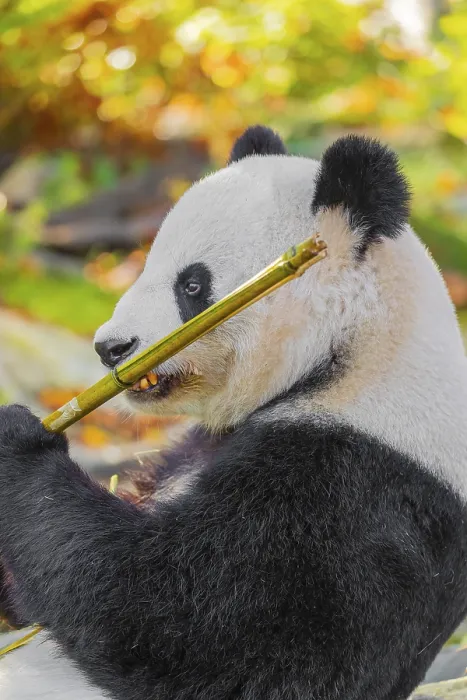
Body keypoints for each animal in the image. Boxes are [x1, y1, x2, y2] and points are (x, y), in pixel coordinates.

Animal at [0, 126, 467, 700]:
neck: (354, 349)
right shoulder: (197, 445)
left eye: (192, 285)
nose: (110, 348)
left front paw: (18, 440)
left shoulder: (359, 488)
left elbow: (183, 623)